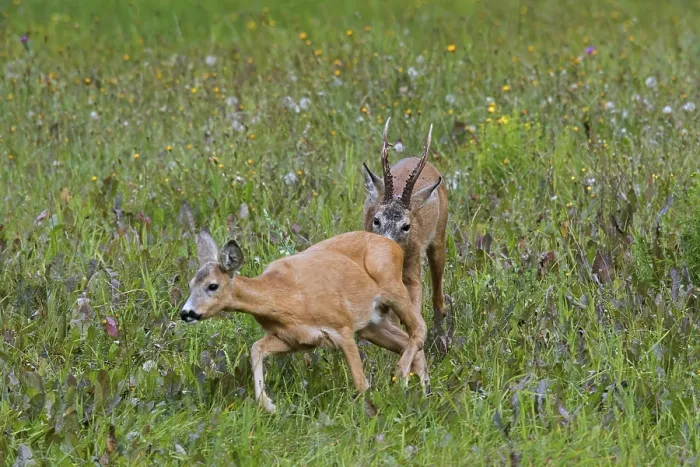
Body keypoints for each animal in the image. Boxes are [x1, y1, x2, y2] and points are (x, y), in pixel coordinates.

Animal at [180, 229, 429, 413]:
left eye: (212, 285)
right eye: (190, 284)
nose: (186, 313)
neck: (287, 297)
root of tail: (392, 244)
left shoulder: (342, 327)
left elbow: (361, 382)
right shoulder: (293, 338)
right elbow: (256, 347)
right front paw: (269, 404)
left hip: (393, 287)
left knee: (419, 328)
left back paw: (403, 376)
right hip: (372, 323)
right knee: (406, 340)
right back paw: (422, 390)